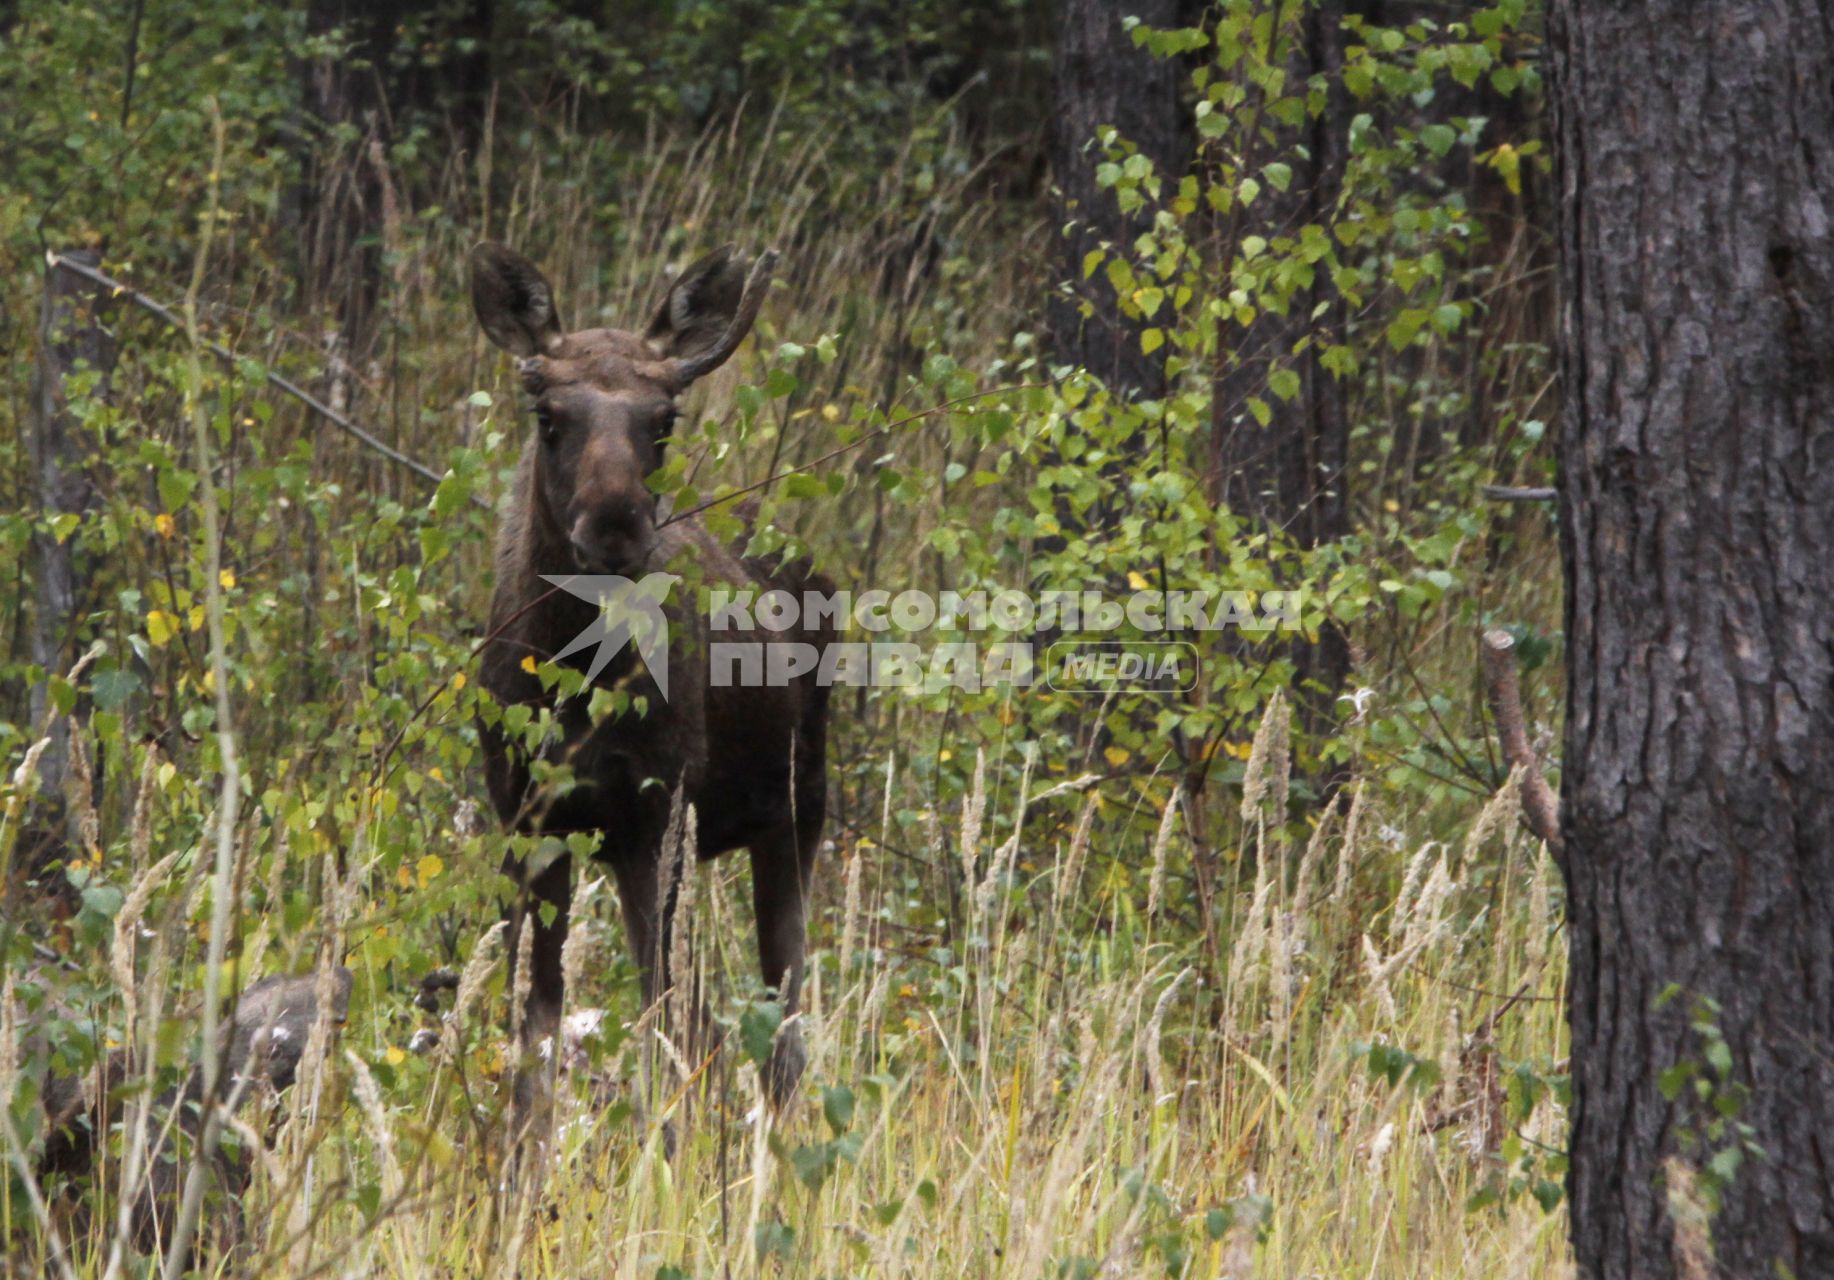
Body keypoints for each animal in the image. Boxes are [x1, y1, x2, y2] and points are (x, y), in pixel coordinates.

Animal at [465, 236, 832, 1107]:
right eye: (548, 415)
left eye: (664, 419)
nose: (615, 524)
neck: (572, 674)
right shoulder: (524, 816)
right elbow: (534, 1025)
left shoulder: (656, 810)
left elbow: (667, 1018)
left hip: (800, 809)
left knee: (783, 1015)